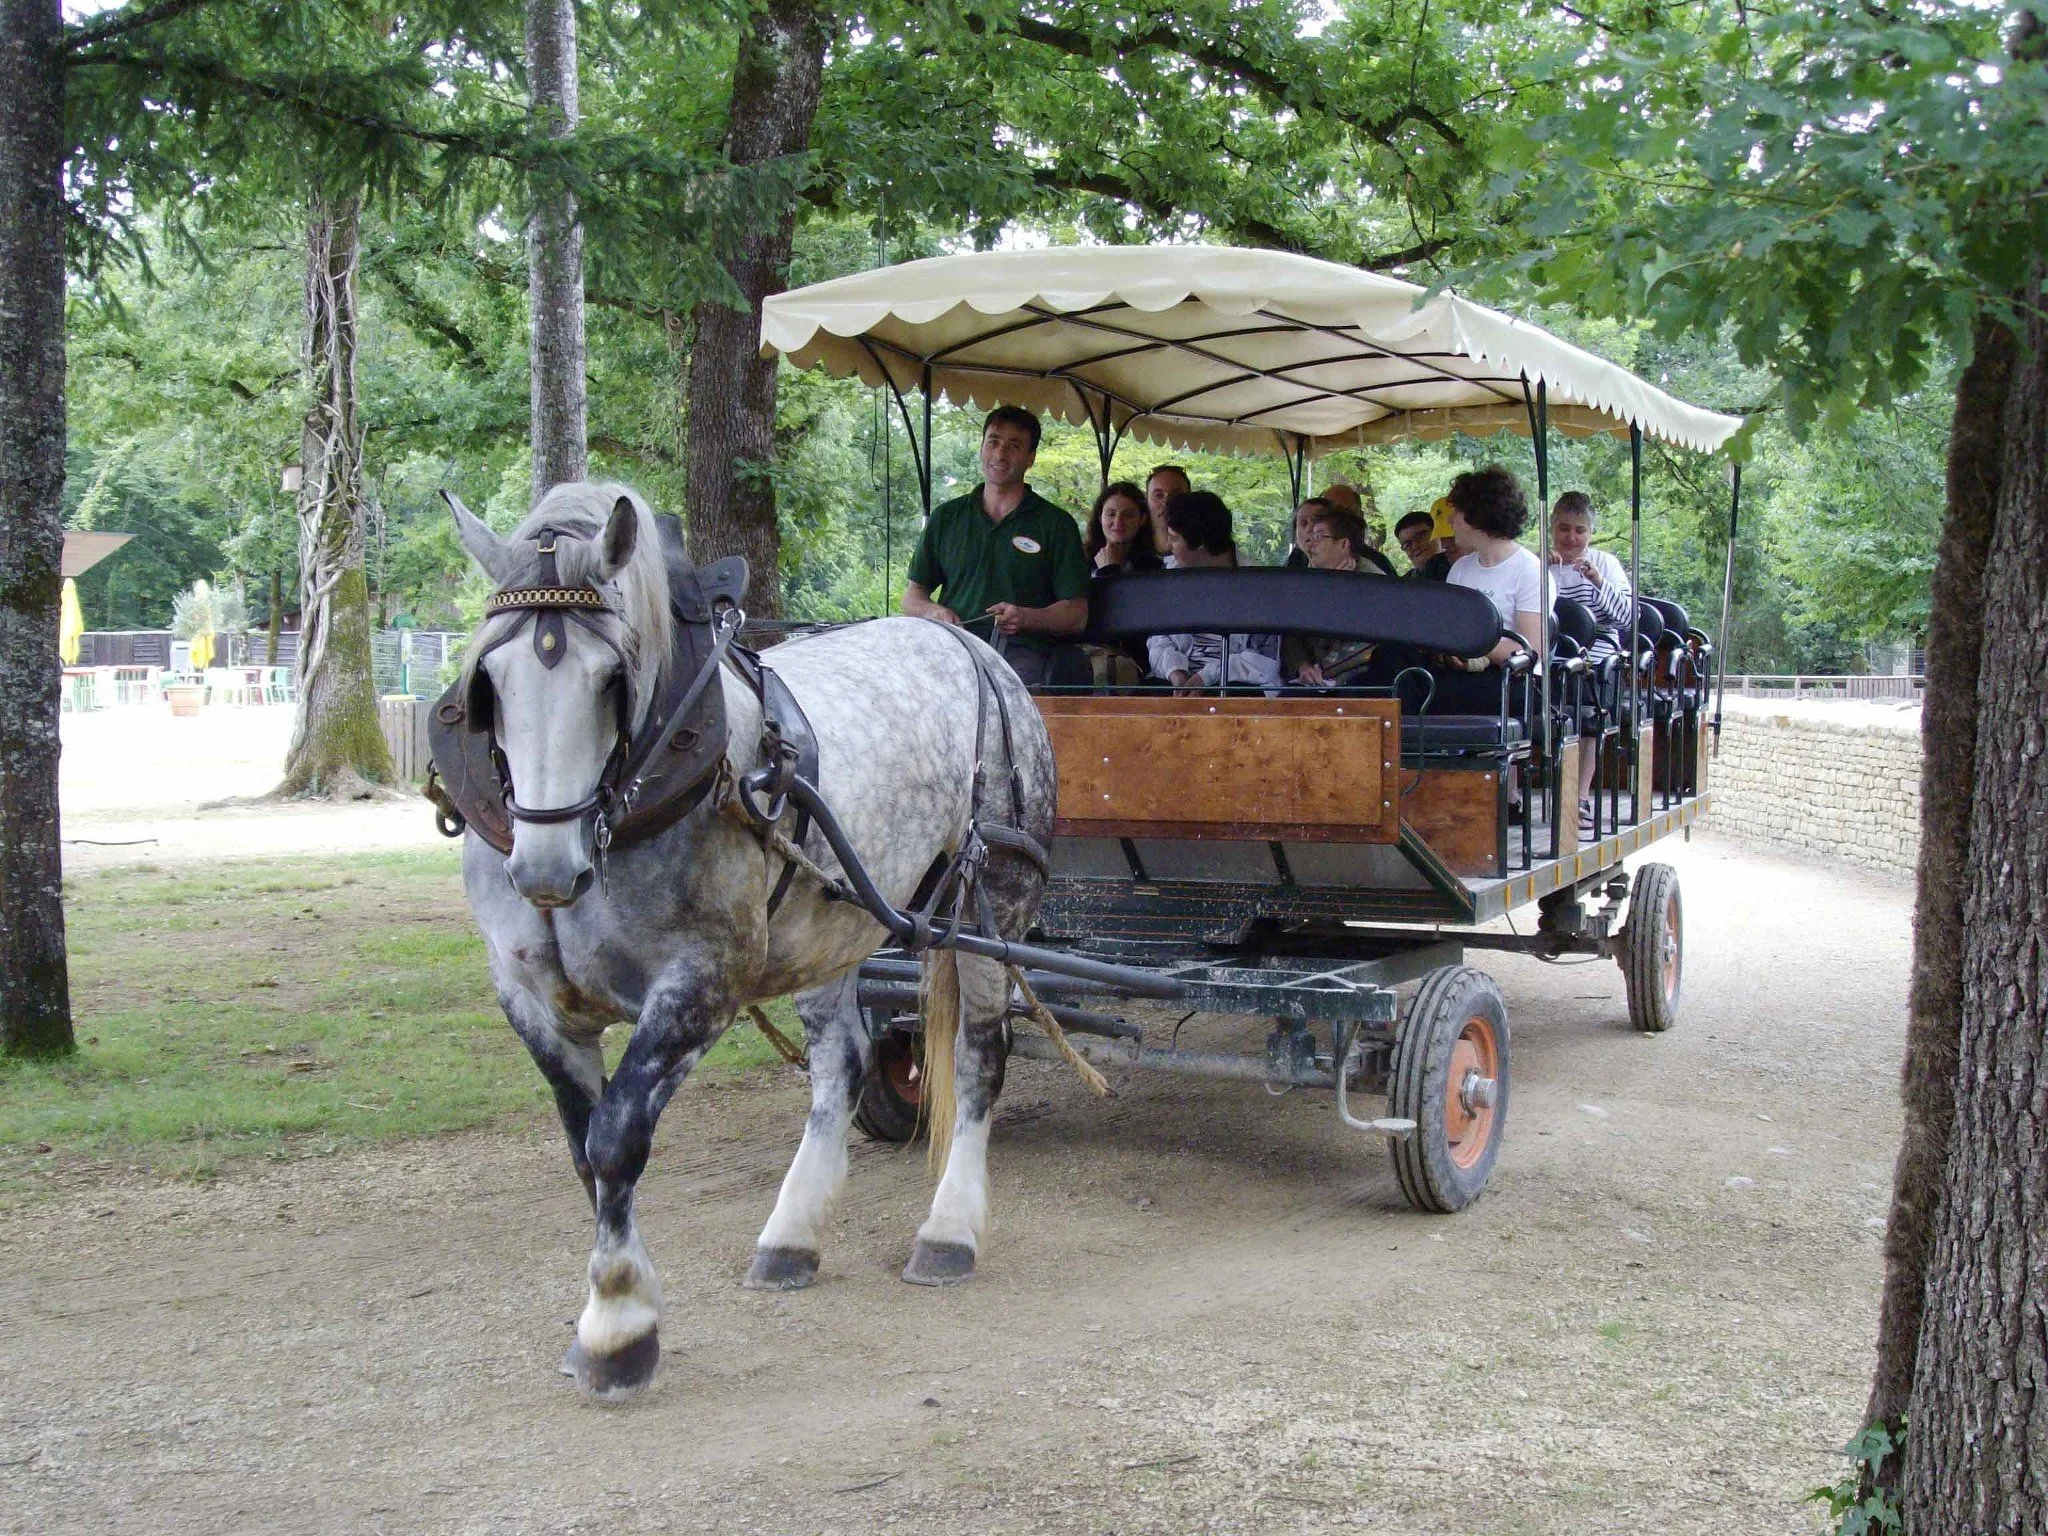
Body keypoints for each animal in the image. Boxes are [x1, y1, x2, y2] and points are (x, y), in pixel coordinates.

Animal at [440, 481, 1057, 1400]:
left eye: (611, 678)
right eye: (490, 682)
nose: (546, 869)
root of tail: (971, 644)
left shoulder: (703, 983)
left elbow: (617, 1138)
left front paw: (618, 1325)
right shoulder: (531, 1001)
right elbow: (585, 1151)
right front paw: (612, 1308)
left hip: (994, 908)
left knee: (980, 1058)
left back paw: (948, 1232)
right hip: (834, 920)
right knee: (842, 1066)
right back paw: (790, 1236)